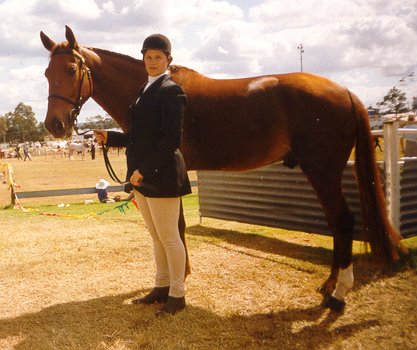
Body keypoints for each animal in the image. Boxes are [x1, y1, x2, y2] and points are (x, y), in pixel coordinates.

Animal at [39, 26, 404, 310]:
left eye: (70, 70)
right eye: (46, 74)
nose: (55, 125)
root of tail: (345, 91)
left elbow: (178, 228)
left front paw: (179, 282)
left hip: (324, 171)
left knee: (343, 222)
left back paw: (338, 295)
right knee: (337, 224)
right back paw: (329, 285)